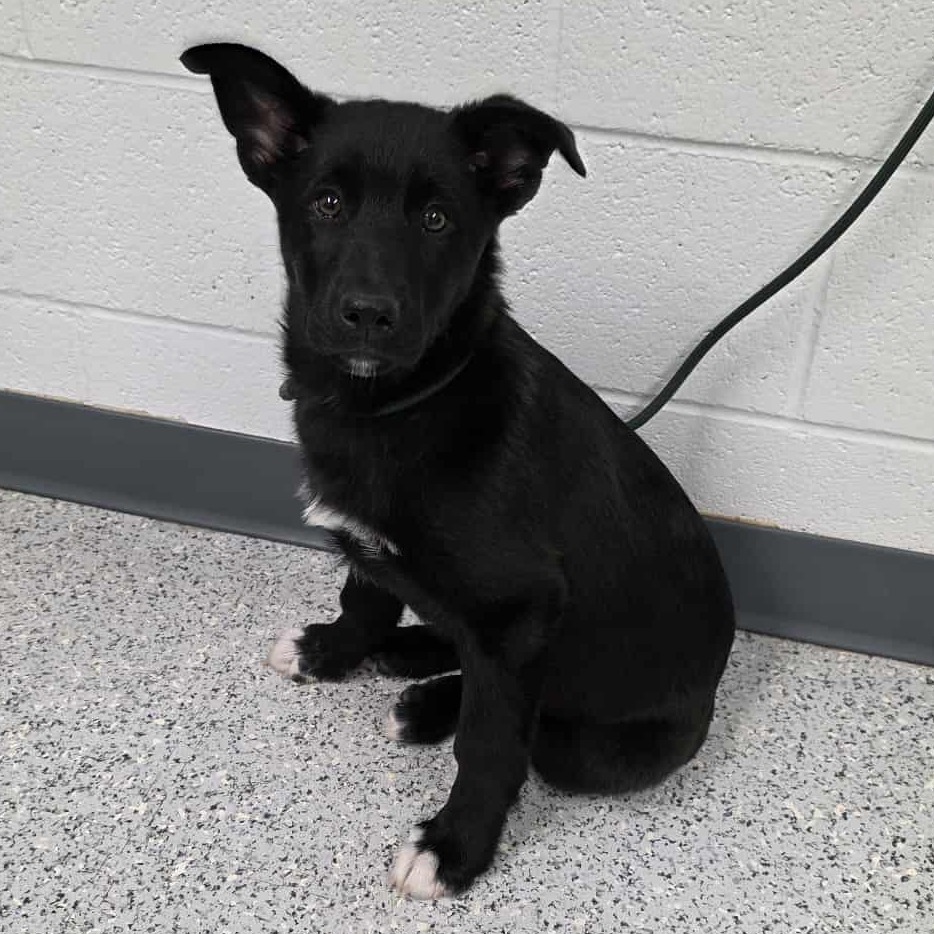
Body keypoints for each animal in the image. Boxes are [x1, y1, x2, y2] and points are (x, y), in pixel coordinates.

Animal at [182, 43, 735, 899]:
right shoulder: (380, 552)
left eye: (438, 220)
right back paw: (412, 660)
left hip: (587, 740)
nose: (368, 314)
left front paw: (455, 846)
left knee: (534, 720)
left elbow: (492, 741)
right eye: (327, 203)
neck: (401, 405)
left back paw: (427, 704)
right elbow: (367, 597)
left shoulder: (523, 610)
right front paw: (335, 651)